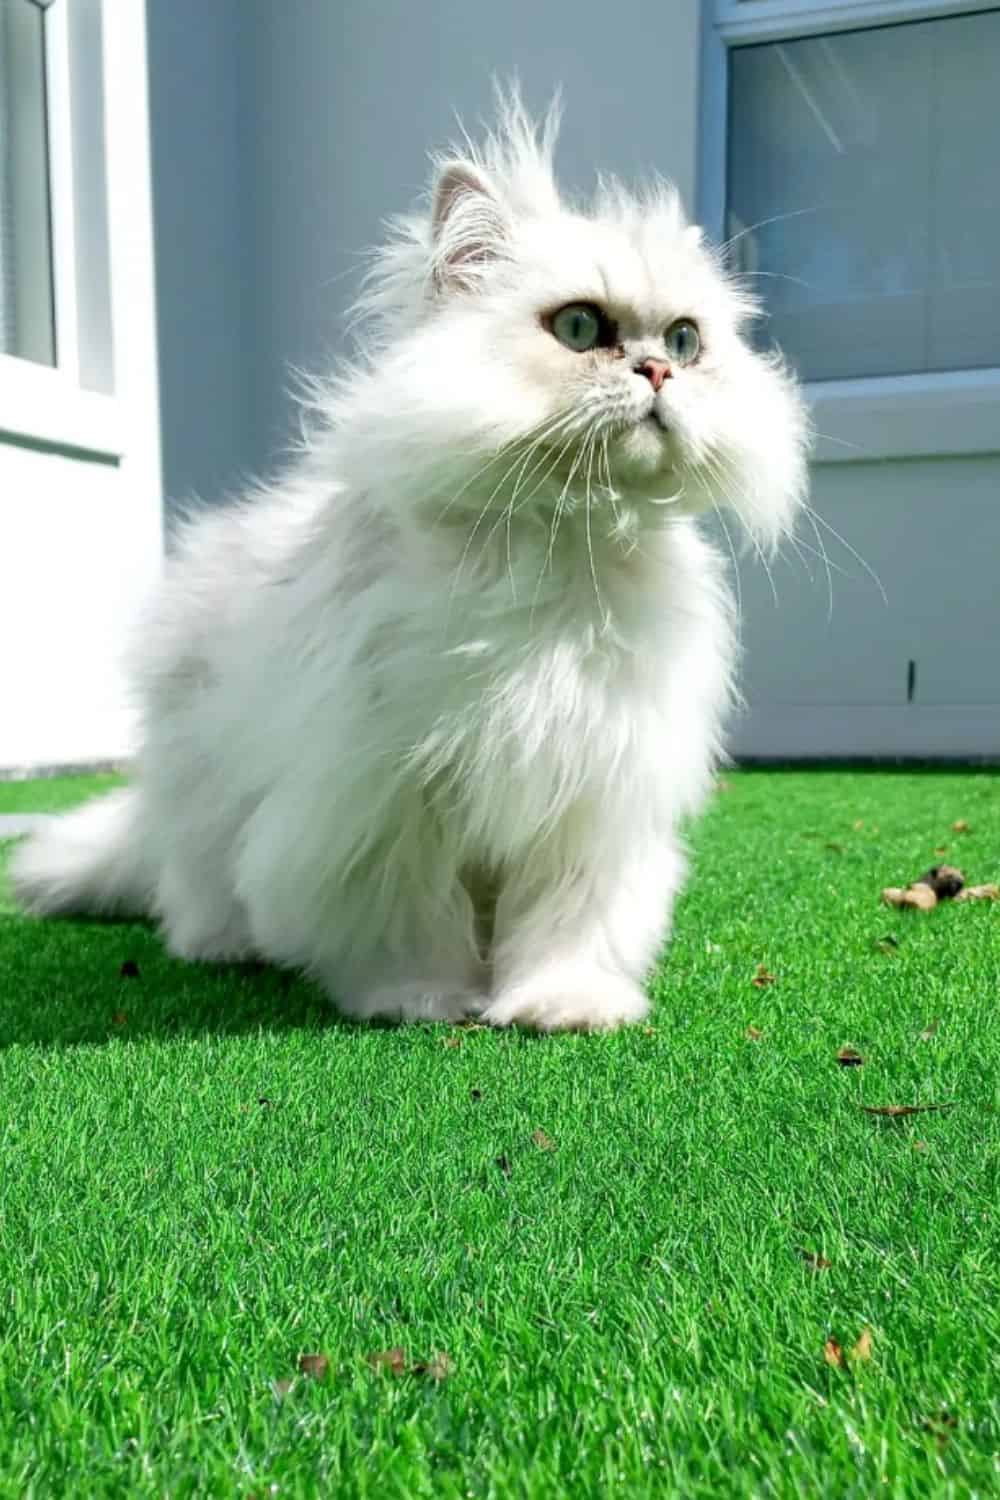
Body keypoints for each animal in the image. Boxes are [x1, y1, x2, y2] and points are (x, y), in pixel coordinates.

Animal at [11, 96, 809, 1032]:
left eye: (686, 342)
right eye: (579, 328)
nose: (656, 372)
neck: (558, 540)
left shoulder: (586, 802)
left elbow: (566, 926)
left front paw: (561, 1006)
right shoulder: (384, 803)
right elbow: (407, 918)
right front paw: (423, 1001)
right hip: (201, 782)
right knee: (196, 879)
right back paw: (228, 943)